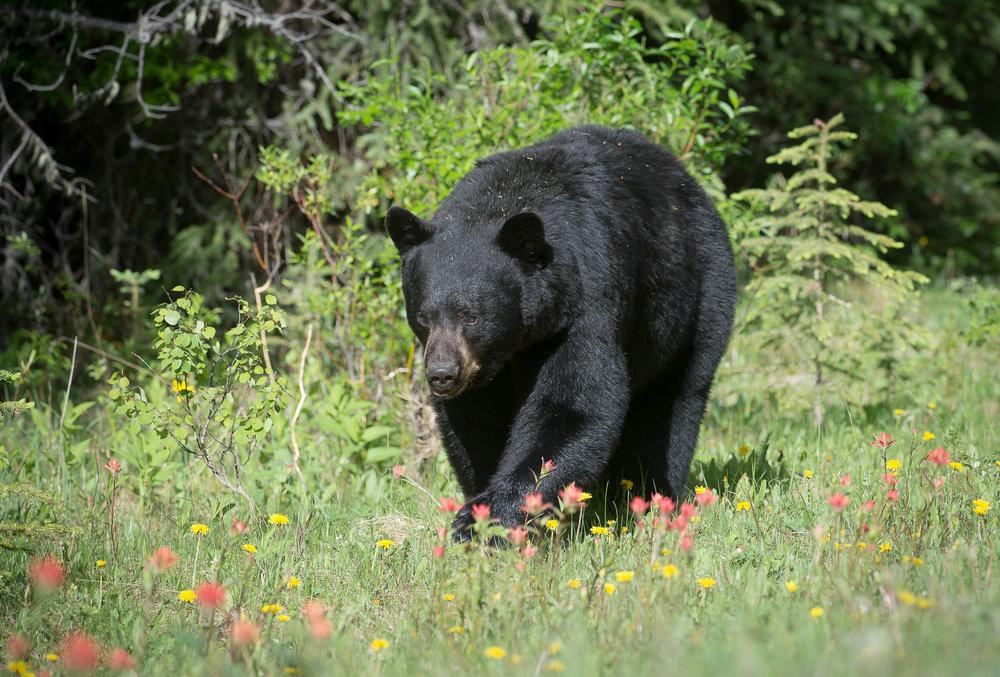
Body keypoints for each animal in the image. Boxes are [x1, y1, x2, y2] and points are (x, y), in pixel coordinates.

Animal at [385, 125, 736, 537]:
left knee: (674, 401)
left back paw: (649, 499)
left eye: (471, 317)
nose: (442, 374)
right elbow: (474, 421)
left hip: (697, 297)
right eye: (424, 317)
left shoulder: (585, 301)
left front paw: (488, 518)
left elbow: (572, 405)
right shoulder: (482, 370)